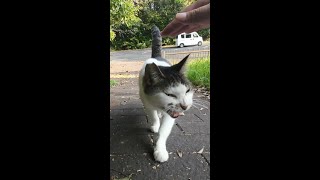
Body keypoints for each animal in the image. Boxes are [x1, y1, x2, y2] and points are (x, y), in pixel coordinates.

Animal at [139, 25, 194, 163]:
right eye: (169, 95)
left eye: (187, 91)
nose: (184, 106)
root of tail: (157, 57)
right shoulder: (146, 101)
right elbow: (152, 115)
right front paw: (155, 125)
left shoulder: (172, 114)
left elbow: (164, 131)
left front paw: (160, 150)